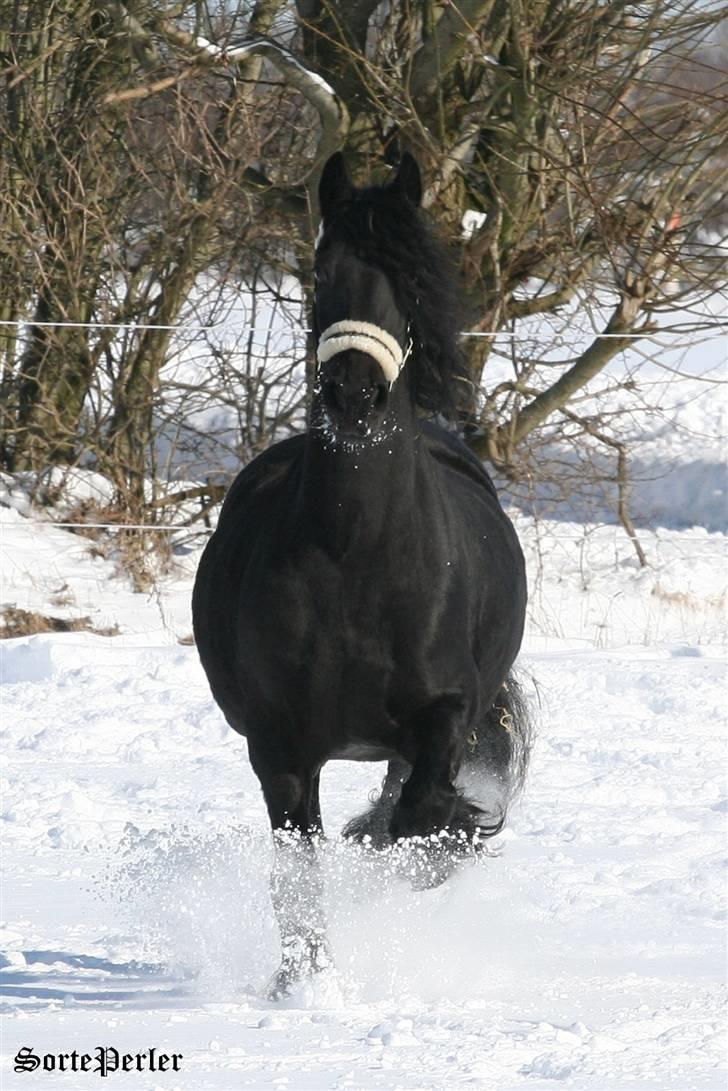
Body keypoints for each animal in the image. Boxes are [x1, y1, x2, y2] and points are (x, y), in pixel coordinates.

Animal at [192, 153, 530, 999]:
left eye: (410, 276)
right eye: (321, 271)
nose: (353, 395)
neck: (355, 561)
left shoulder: (445, 714)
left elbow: (419, 817)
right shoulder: (280, 747)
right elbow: (299, 870)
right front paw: (305, 986)